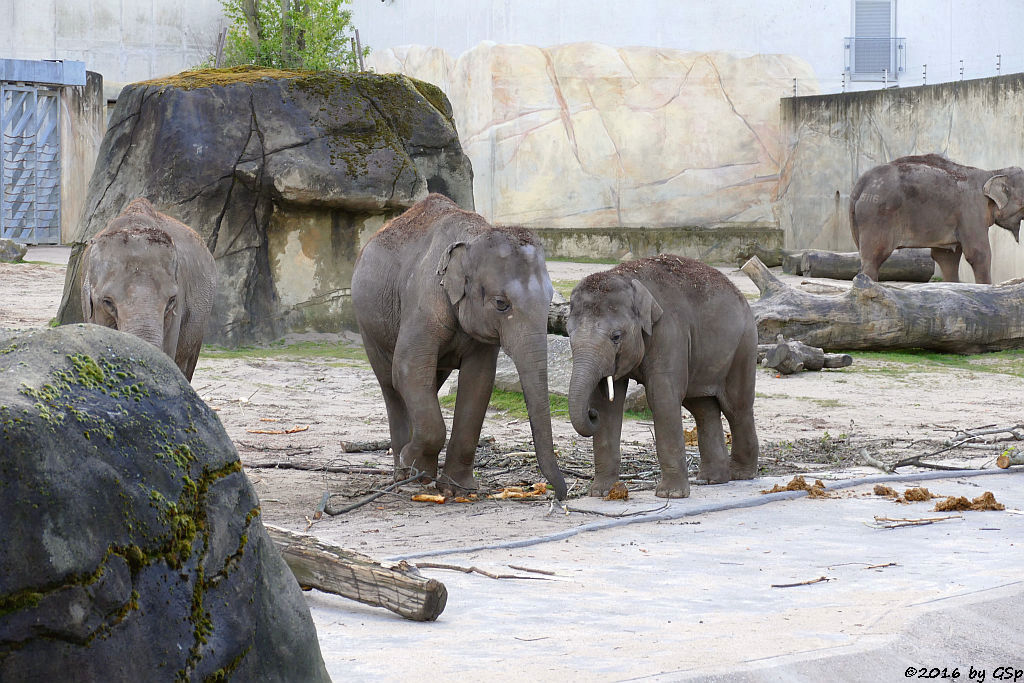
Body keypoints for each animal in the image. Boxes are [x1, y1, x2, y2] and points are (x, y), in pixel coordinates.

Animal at [352, 194, 569, 499]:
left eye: (550, 300)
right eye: (501, 304)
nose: (559, 494)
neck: (474, 236)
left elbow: (478, 382)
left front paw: (458, 491)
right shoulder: (423, 302)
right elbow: (407, 369)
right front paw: (411, 460)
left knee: (429, 383)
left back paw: (420, 475)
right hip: (367, 324)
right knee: (391, 384)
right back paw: (406, 475)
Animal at [569, 253, 761, 499]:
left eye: (616, 336)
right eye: (569, 335)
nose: (590, 414)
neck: (627, 277)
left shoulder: (669, 331)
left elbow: (662, 397)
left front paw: (671, 494)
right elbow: (607, 405)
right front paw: (600, 492)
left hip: (743, 346)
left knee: (737, 407)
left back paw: (741, 474)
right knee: (703, 408)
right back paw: (711, 479)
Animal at [847, 154, 1024, 282]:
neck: (992, 172)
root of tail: (860, 184)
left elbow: (947, 257)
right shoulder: (971, 210)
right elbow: (979, 254)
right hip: (878, 215)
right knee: (873, 258)